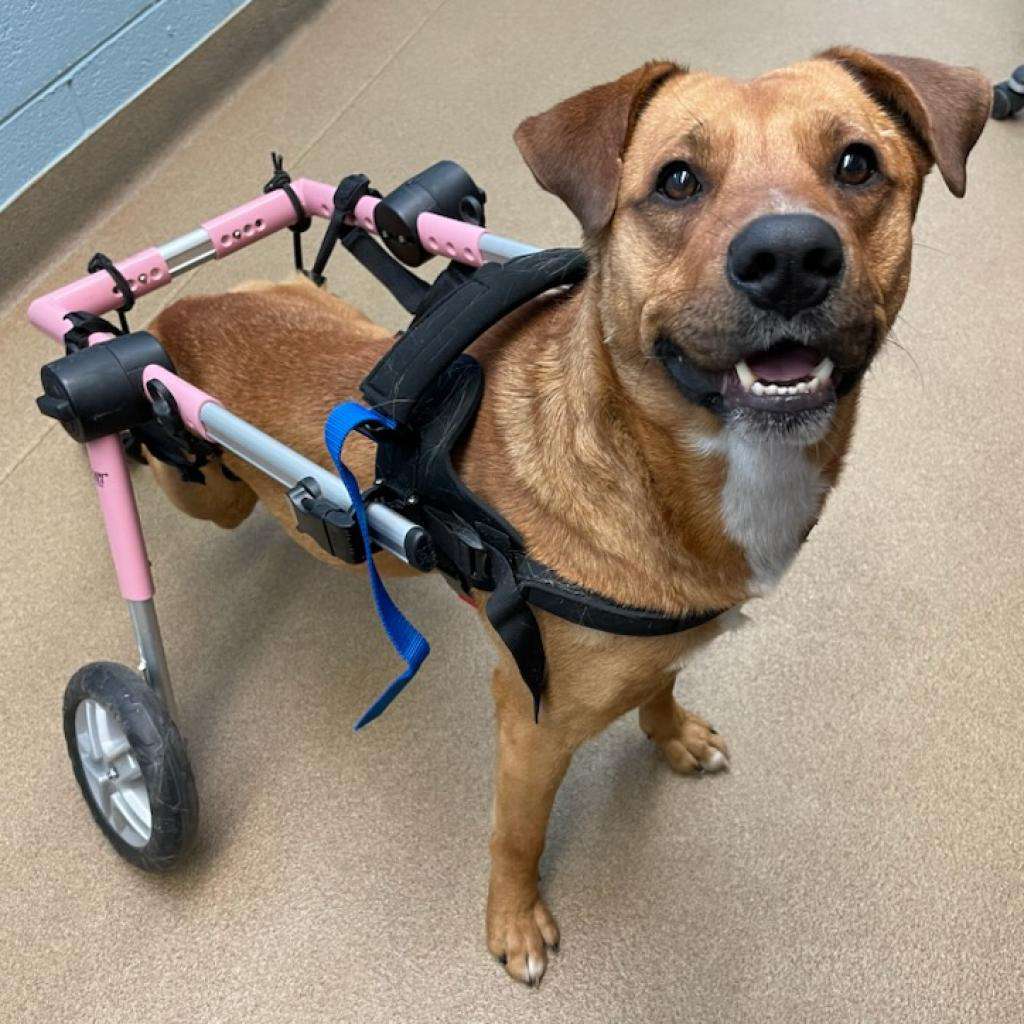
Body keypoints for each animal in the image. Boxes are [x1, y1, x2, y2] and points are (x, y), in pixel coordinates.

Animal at [144, 48, 991, 983]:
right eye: (677, 180)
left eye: (856, 165)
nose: (790, 256)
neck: (656, 464)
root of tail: (182, 308)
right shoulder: (529, 721)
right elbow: (518, 834)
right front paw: (514, 920)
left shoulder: (661, 639)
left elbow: (660, 682)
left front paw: (671, 735)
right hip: (203, 485)